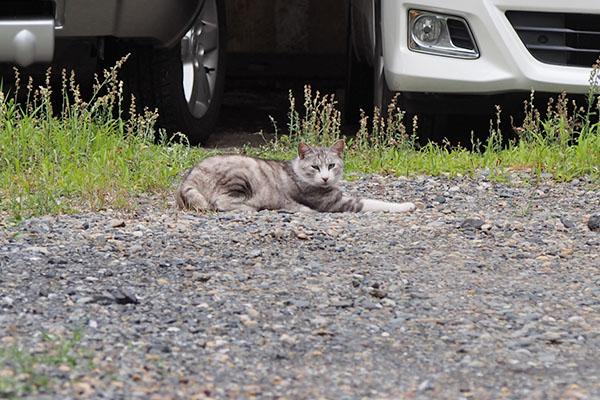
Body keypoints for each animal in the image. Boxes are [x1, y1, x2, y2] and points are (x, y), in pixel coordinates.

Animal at [176, 141, 414, 214]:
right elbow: (375, 202)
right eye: (315, 167)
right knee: (220, 202)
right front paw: (407, 205)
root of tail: (188, 179)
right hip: (240, 175)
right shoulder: (337, 203)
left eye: (331, 166)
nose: (325, 178)